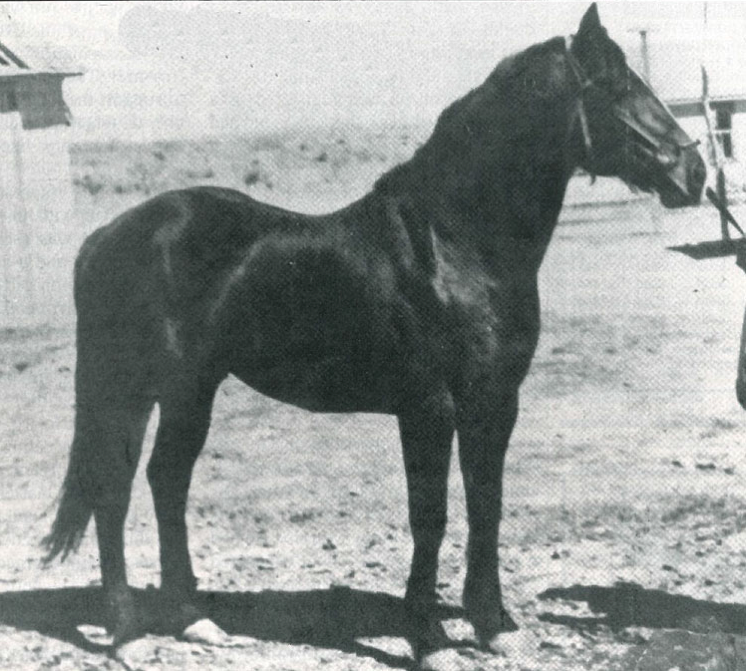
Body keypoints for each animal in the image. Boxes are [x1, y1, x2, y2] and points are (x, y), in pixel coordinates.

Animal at [44, 3, 705, 665]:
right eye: (616, 88)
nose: (694, 172)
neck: (454, 245)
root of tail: (107, 234)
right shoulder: (429, 406)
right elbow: (430, 515)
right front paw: (428, 638)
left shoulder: (495, 401)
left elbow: (486, 505)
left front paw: (491, 624)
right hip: (134, 388)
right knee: (113, 490)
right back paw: (126, 633)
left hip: (192, 389)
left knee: (167, 481)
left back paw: (193, 620)